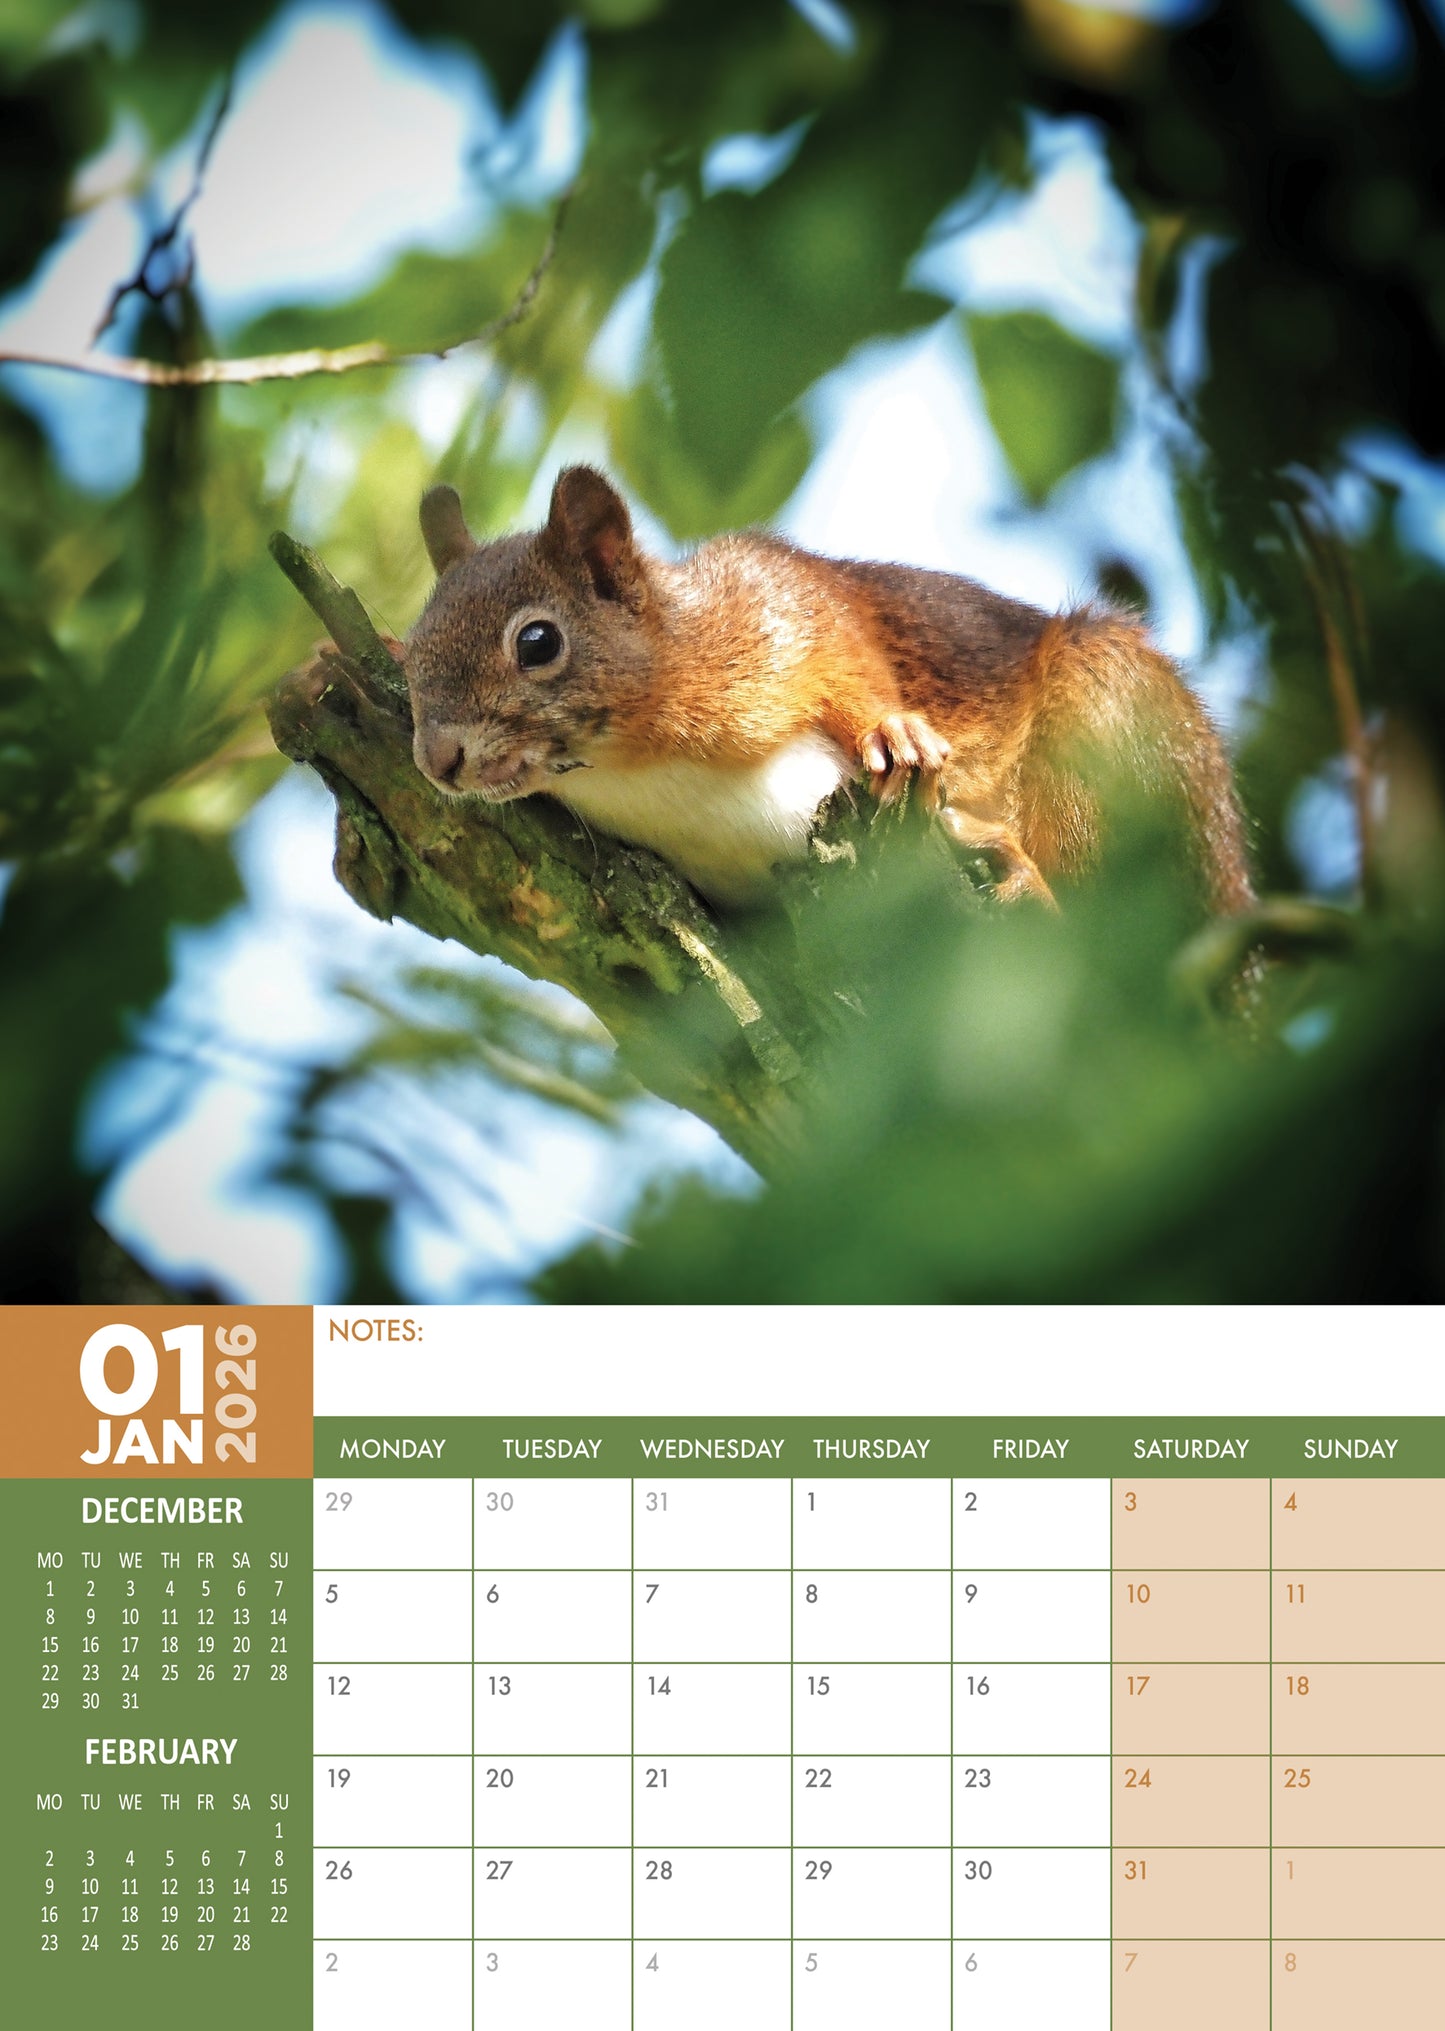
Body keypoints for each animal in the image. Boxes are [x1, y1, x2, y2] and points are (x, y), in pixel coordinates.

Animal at [398, 465, 1254, 916]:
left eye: (537, 642)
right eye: (410, 658)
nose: (438, 759)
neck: (634, 773)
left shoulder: (777, 607)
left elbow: (848, 654)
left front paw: (894, 734)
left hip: (1110, 720)